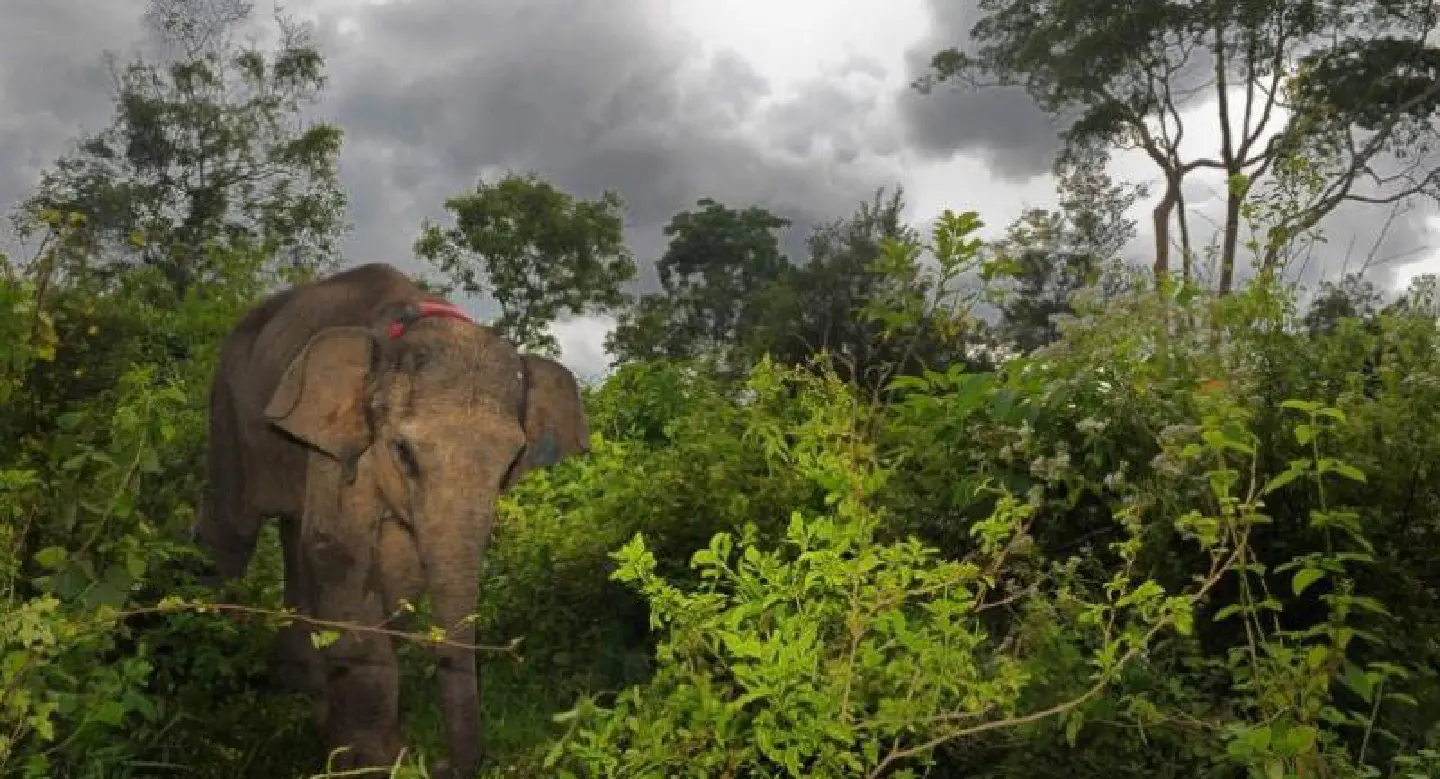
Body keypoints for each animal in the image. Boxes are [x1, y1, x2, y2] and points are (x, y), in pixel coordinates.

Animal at [190, 262, 589, 777]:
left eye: (510, 464)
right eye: (404, 452)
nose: (439, 761)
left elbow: (397, 568)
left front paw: (352, 738)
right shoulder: (346, 433)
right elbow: (342, 550)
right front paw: (374, 761)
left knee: (295, 538)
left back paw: (298, 686)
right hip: (227, 398)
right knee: (234, 526)